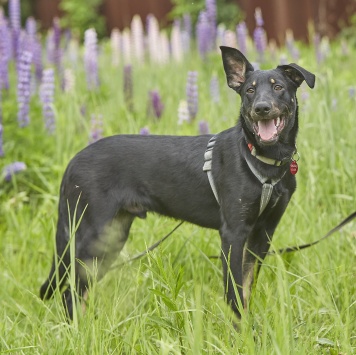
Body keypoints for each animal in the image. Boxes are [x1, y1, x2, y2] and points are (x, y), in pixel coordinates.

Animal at [40, 46, 316, 320]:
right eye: (250, 90)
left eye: (278, 87)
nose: (261, 108)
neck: (262, 159)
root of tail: (73, 162)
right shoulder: (233, 234)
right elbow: (234, 295)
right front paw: (240, 330)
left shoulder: (263, 233)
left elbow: (247, 289)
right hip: (92, 234)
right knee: (70, 292)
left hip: (111, 237)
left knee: (79, 290)